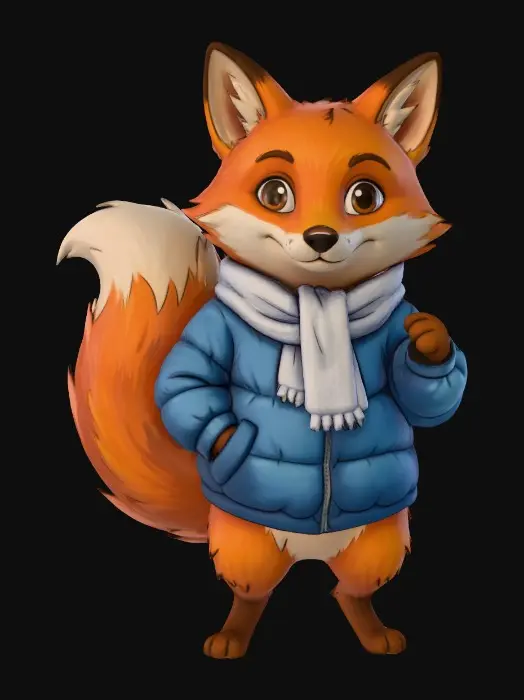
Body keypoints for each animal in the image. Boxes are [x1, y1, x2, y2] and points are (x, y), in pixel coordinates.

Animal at [58, 43, 467, 658]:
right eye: (276, 193)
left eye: (364, 196)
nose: (321, 238)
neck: (315, 301)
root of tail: (310, 549)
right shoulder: (211, 331)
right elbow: (183, 383)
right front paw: (222, 433)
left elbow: (426, 398)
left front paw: (431, 345)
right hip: (247, 545)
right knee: (252, 594)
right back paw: (232, 636)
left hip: (379, 543)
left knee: (349, 592)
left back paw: (372, 631)